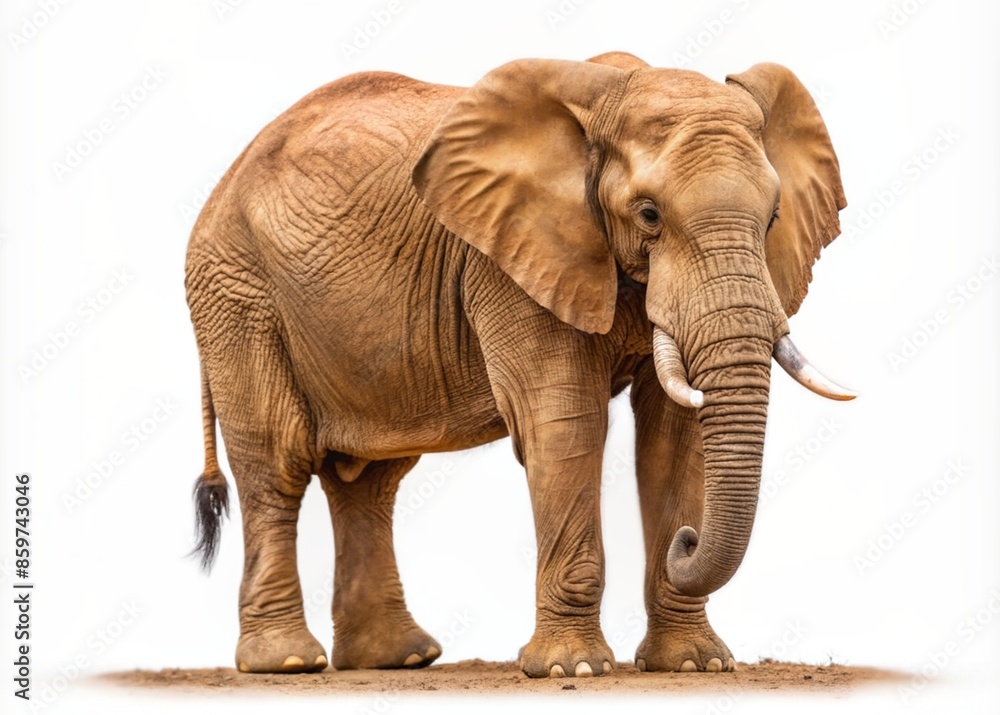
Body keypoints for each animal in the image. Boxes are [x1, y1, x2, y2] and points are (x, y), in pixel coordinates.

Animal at [185, 50, 854, 679]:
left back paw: (397, 658)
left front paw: (694, 665)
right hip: (238, 294)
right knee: (278, 461)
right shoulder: (507, 260)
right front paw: (571, 669)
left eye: (773, 218)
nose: (687, 542)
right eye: (649, 215)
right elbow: (564, 425)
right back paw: (287, 662)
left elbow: (675, 435)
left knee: (370, 480)